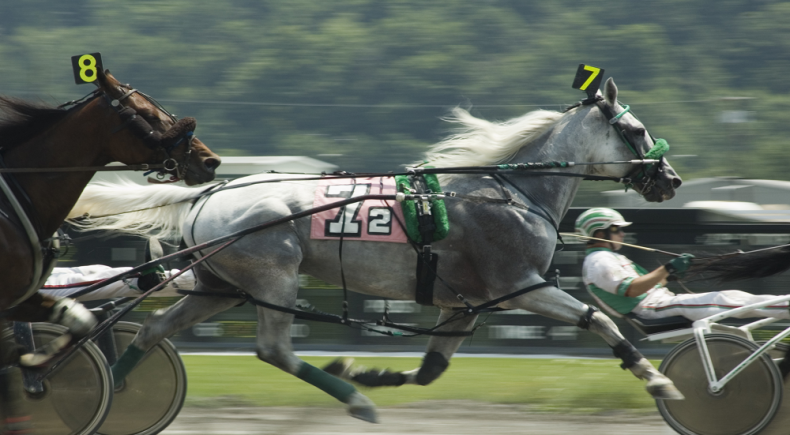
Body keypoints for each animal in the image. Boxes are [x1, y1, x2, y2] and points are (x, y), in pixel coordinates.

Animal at [0, 68, 220, 430]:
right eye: (148, 115)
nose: (210, 160)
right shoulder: (10, 297)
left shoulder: (20, 298)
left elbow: (78, 321)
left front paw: (38, 364)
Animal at [69, 78, 688, 422]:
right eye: (636, 130)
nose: (671, 180)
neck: (507, 192)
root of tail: (207, 192)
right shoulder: (521, 286)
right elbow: (599, 321)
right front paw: (658, 380)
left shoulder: (463, 305)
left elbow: (431, 370)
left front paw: (367, 370)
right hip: (273, 280)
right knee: (273, 350)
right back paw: (354, 402)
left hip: (221, 288)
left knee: (153, 331)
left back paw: (117, 389)